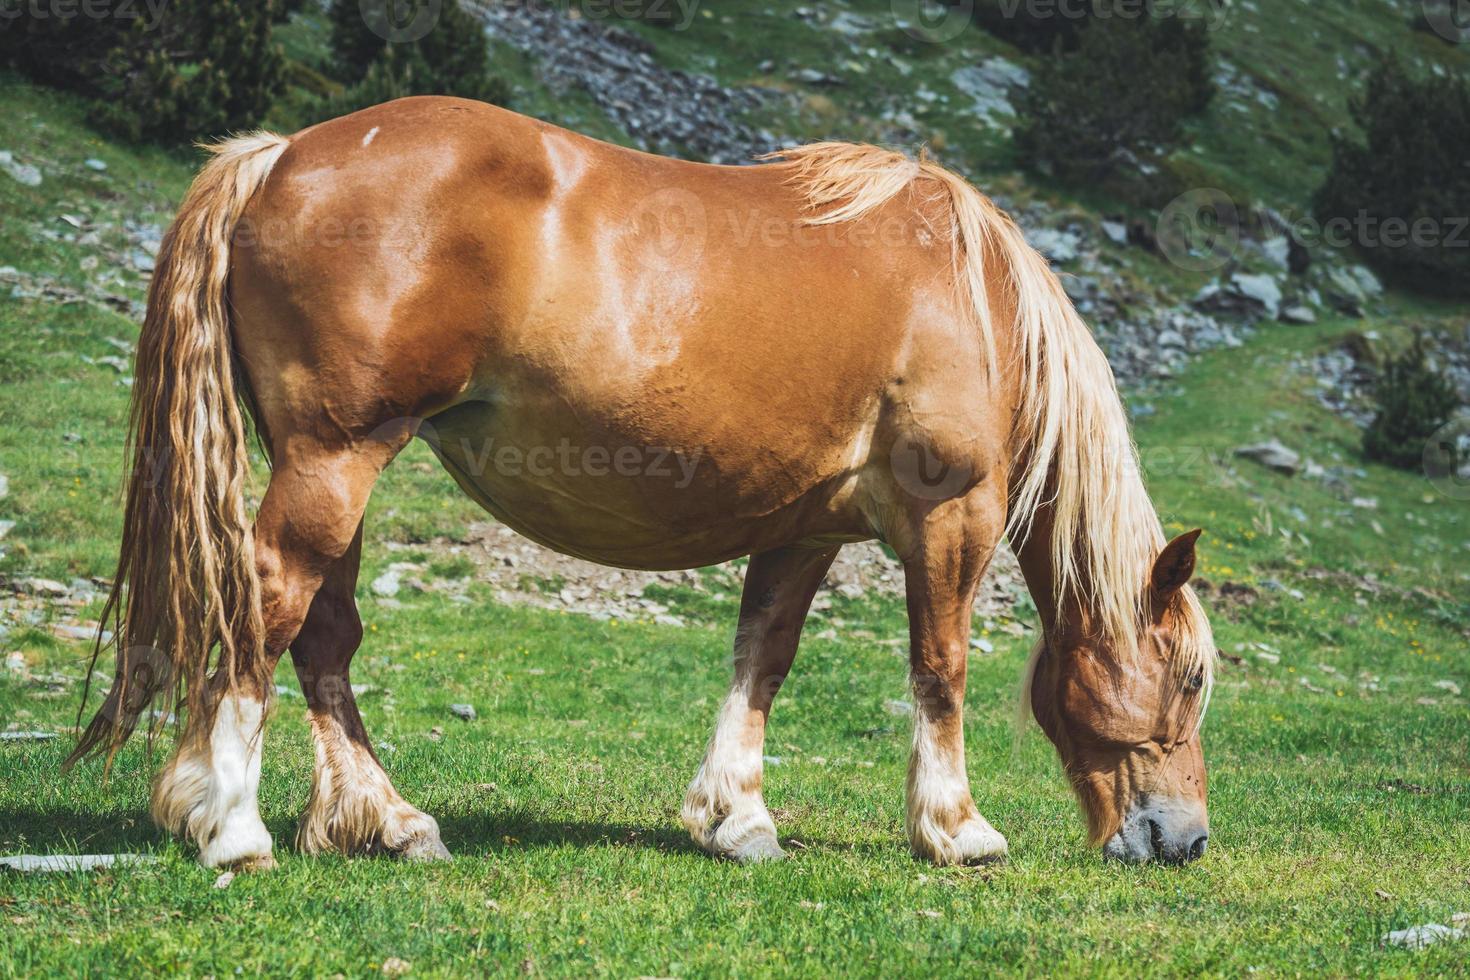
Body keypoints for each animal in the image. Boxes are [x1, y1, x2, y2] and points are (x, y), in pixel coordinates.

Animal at [66, 95, 1217, 869]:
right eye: (1194, 678)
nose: (1186, 837)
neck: (972, 296)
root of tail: (276, 158)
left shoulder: (805, 529)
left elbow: (763, 659)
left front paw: (737, 818)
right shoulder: (949, 515)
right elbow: (940, 667)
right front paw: (957, 828)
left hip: (335, 465)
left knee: (322, 636)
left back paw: (388, 821)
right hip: (335, 457)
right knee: (267, 604)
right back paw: (231, 825)